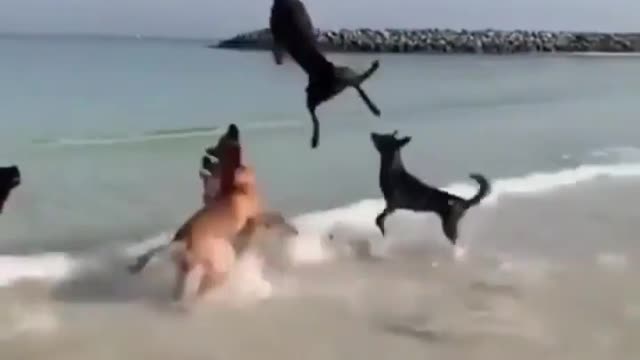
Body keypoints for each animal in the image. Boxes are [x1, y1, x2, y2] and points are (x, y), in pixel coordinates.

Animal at [131, 124, 300, 304]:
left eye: (217, 143)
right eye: (222, 140)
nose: (232, 126)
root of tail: (183, 240)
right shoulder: (256, 216)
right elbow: (276, 217)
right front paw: (291, 229)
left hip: (186, 270)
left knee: (182, 290)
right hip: (220, 265)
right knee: (204, 288)